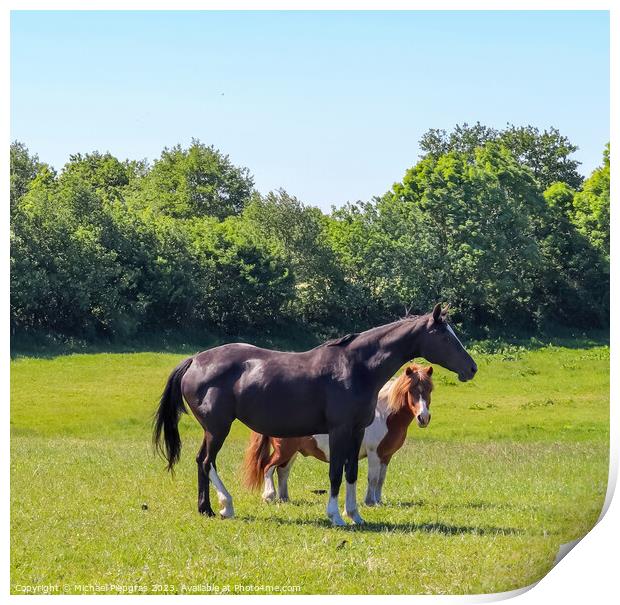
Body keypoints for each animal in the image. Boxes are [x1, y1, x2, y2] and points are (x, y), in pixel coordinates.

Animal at [240, 364, 434, 504]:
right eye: (411, 390)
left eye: (429, 390)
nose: (423, 417)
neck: (384, 415)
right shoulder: (374, 454)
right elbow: (372, 478)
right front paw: (370, 502)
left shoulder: (386, 456)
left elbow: (381, 479)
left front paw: (378, 501)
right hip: (284, 451)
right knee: (268, 467)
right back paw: (269, 496)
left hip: (292, 452)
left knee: (283, 471)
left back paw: (284, 498)